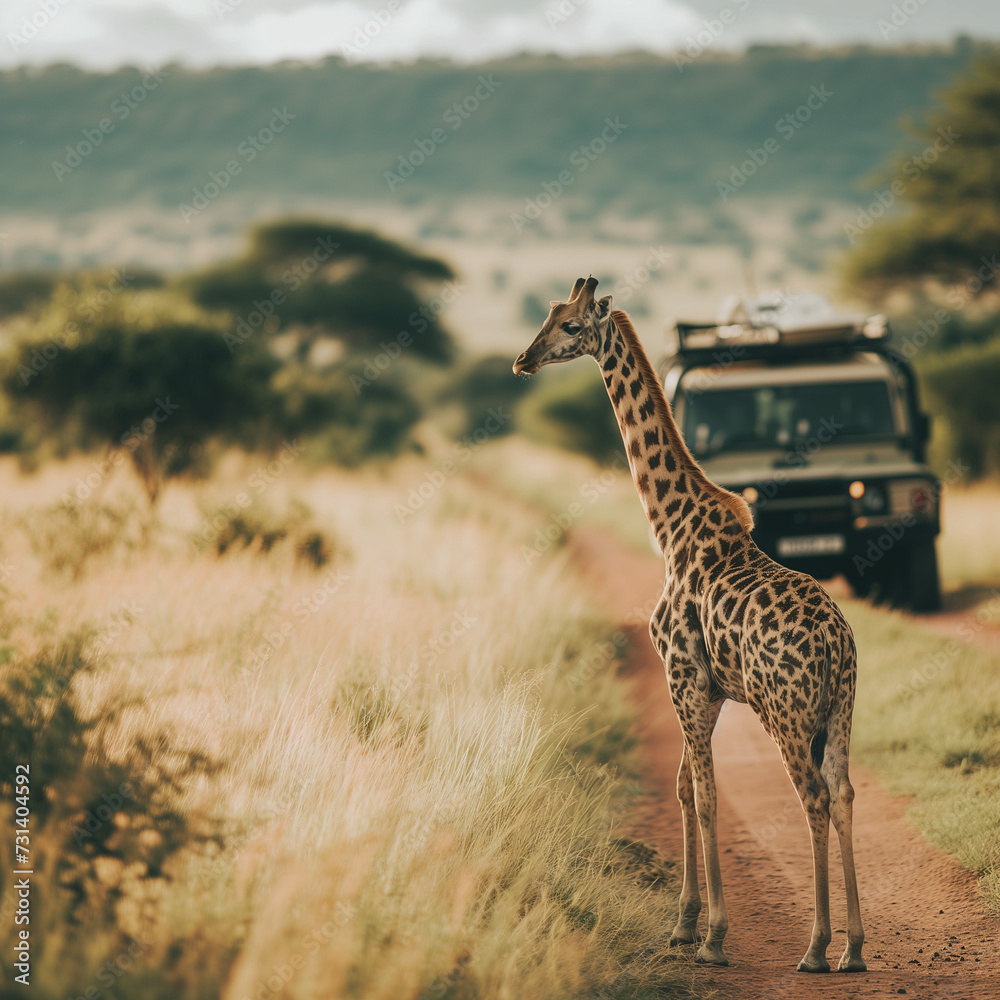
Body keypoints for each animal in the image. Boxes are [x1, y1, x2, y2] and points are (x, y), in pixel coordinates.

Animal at [513, 276, 866, 972]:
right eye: (549, 314)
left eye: (571, 326)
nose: (523, 360)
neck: (669, 529)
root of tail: (837, 643)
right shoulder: (710, 686)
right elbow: (682, 788)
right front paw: (682, 925)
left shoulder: (682, 674)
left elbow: (703, 795)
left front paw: (713, 938)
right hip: (839, 708)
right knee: (841, 793)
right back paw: (855, 948)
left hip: (787, 711)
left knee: (812, 797)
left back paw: (815, 947)